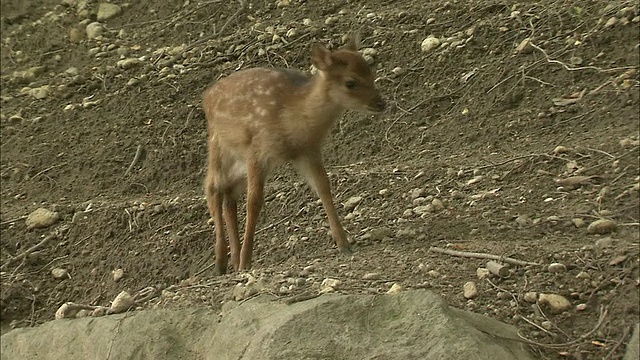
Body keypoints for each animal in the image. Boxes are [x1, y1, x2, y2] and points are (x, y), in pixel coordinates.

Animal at [204, 34, 384, 276]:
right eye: (350, 82)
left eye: (371, 73)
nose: (381, 104)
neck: (292, 118)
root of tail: (206, 96)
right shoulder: (257, 150)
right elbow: (254, 201)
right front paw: (246, 262)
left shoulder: (308, 151)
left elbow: (324, 188)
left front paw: (344, 244)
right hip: (219, 146)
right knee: (212, 188)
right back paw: (221, 262)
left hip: (237, 162)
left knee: (228, 195)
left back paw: (232, 260)